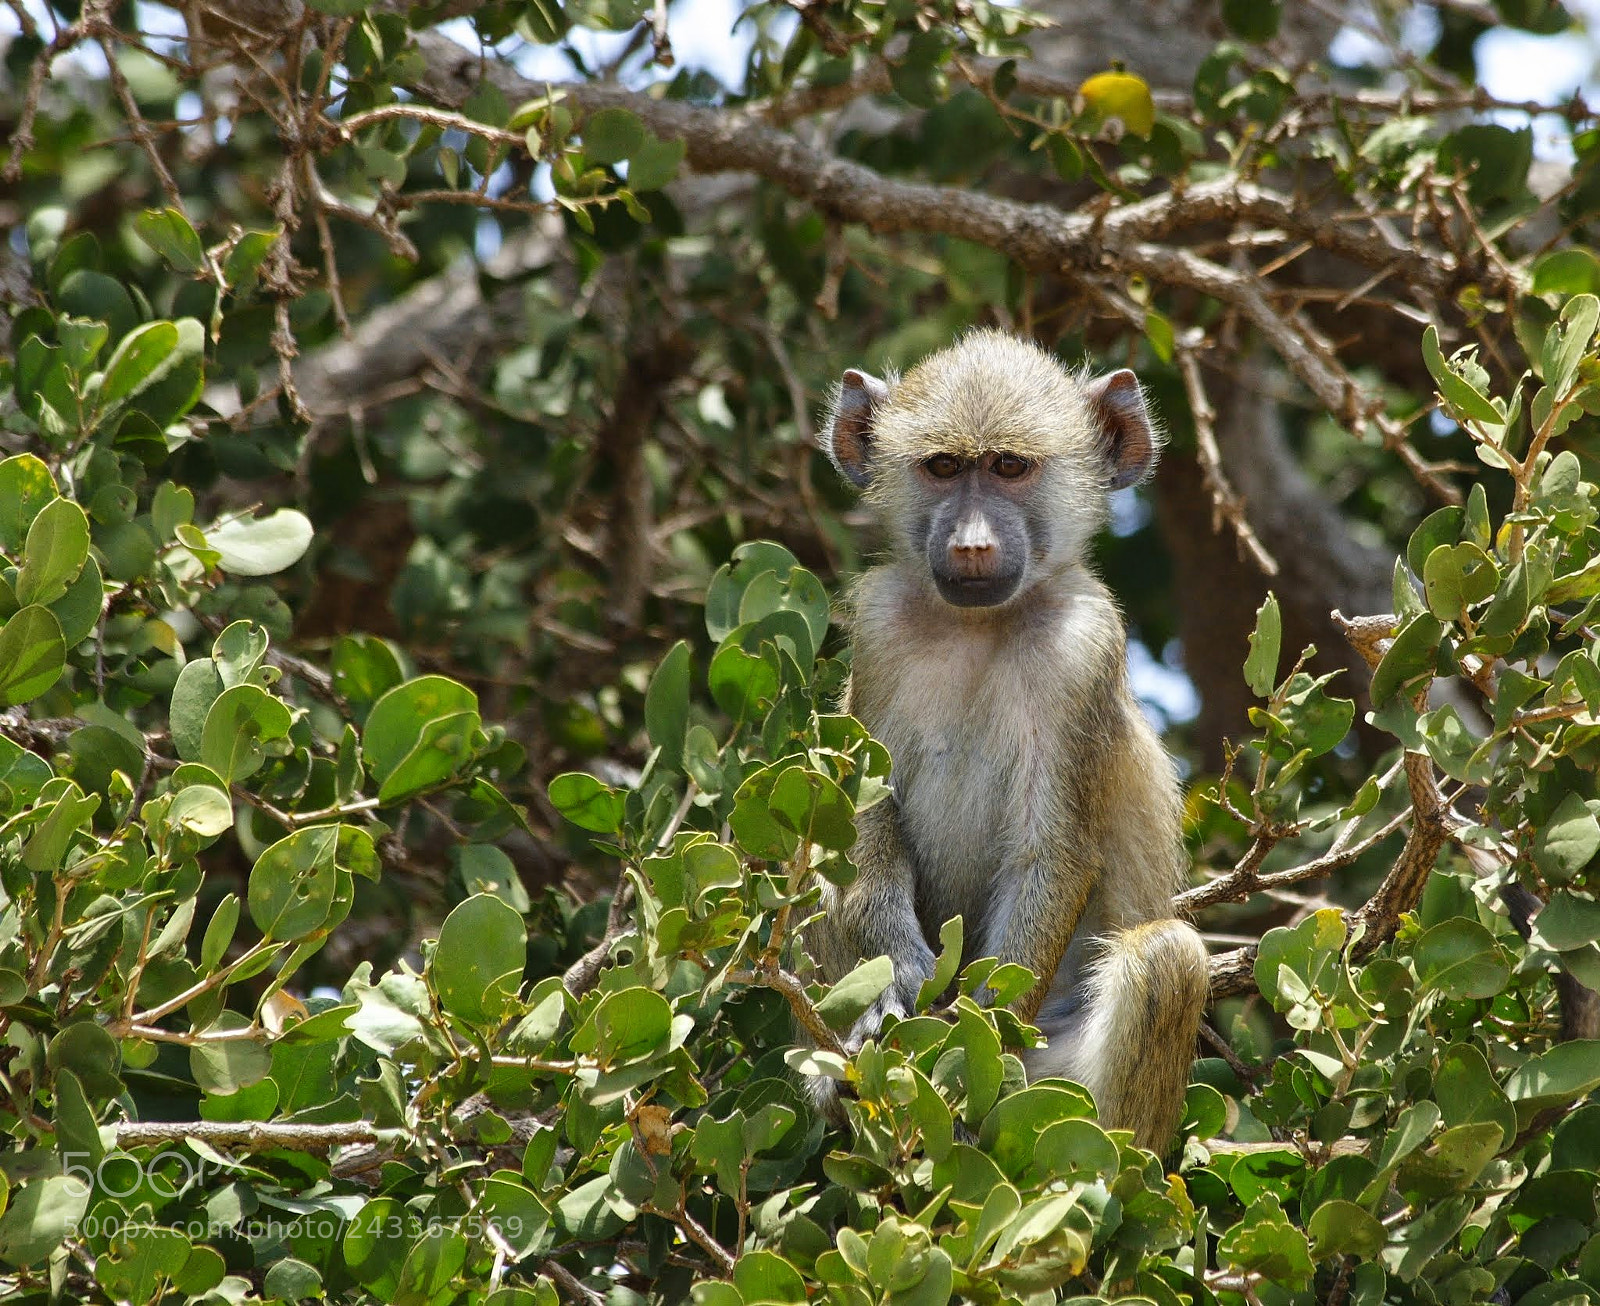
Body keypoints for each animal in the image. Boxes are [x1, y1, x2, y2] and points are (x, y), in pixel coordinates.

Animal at [805, 329, 1210, 1151]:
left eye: (1010, 468)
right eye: (944, 467)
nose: (970, 546)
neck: (978, 625)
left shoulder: (1085, 649)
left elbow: (1050, 853)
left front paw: (966, 1037)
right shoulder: (878, 628)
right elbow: (856, 829)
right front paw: (895, 988)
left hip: (1048, 1080)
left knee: (1165, 959)